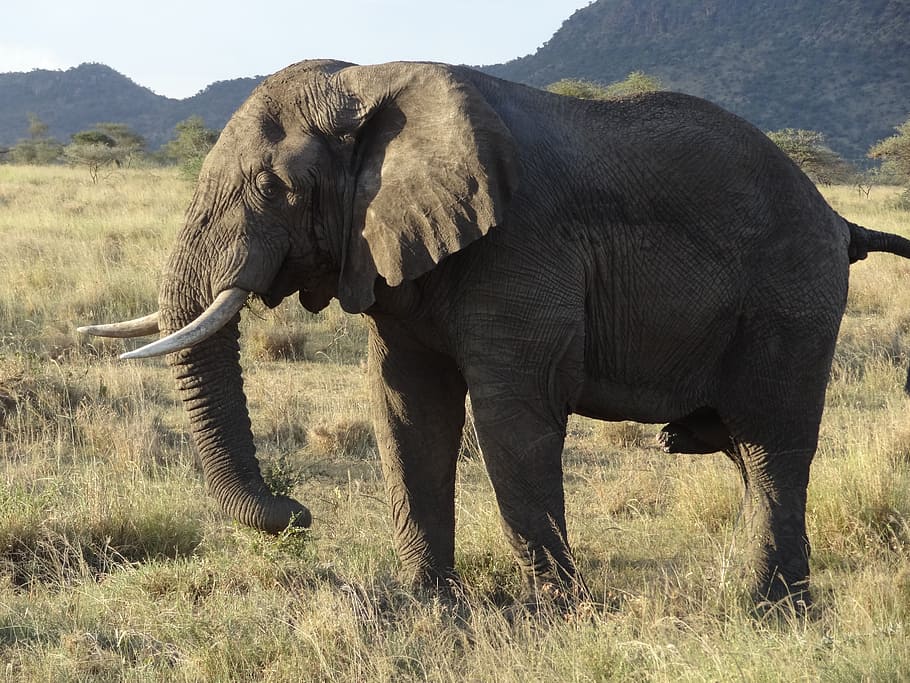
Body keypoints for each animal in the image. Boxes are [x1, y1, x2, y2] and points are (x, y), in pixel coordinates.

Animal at [79, 59, 910, 608]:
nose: (297, 512)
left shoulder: (520, 248)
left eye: (275, 187)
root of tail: (837, 218)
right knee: (747, 451)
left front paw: (556, 613)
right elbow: (406, 410)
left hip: (792, 300)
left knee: (772, 446)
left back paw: (772, 609)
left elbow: (511, 418)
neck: (371, 84)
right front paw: (428, 605)